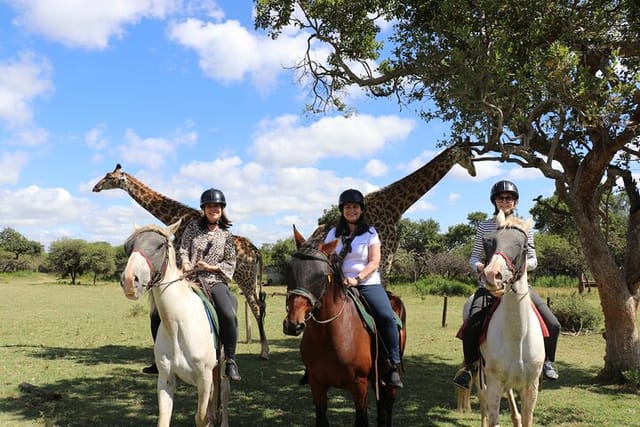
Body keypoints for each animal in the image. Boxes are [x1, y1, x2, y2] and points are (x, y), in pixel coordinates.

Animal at [91, 166, 268, 360]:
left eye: (109, 177)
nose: (95, 187)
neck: (175, 216)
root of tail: (257, 251)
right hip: (253, 279)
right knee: (260, 305)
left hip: (246, 278)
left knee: (256, 308)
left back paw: (264, 351)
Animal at [120, 221, 230, 427]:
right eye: (128, 247)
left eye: (160, 245)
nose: (130, 280)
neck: (179, 326)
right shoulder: (166, 379)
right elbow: (164, 419)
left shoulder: (204, 379)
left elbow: (201, 417)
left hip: (223, 366)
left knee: (225, 393)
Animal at [284, 226, 404, 426]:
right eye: (290, 269)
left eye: (321, 276)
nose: (294, 324)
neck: (329, 337)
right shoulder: (317, 385)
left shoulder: (359, 387)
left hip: (389, 379)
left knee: (388, 406)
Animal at [478, 212, 544, 426]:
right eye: (489, 242)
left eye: (524, 246)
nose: (492, 274)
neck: (517, 336)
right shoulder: (494, 382)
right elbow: (493, 418)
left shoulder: (531, 387)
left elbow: (527, 419)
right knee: (481, 397)